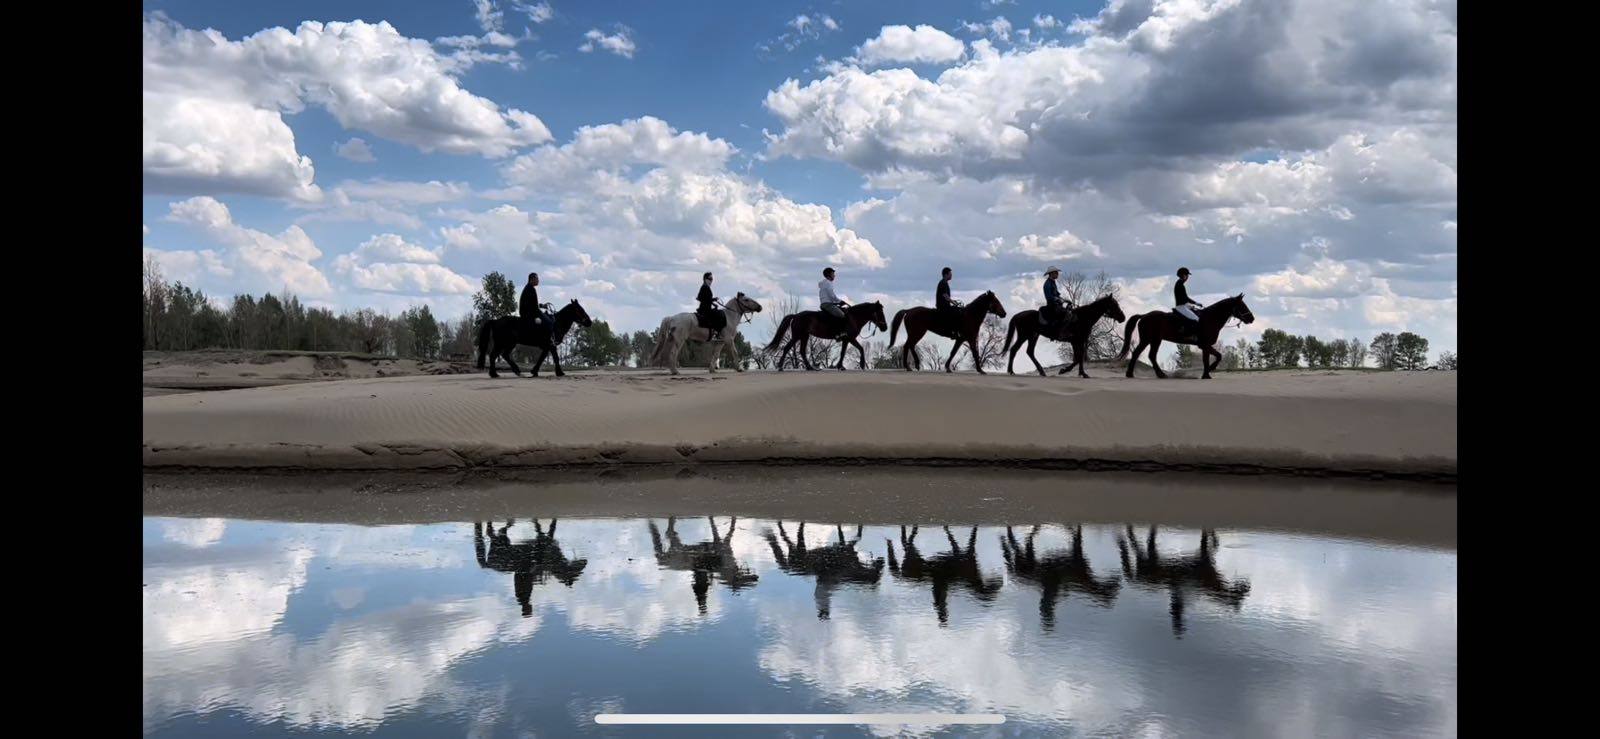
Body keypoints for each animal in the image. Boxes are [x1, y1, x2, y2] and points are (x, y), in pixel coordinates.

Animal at [1117, 294, 1255, 379]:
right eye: (1242, 306)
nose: (1252, 319)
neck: (1210, 318)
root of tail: (1144, 315)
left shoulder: (1205, 346)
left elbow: (1211, 358)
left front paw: (1207, 373)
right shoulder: (1205, 344)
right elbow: (1215, 357)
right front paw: (1209, 371)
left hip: (1155, 340)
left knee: (1150, 356)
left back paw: (1157, 374)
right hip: (1148, 339)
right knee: (1139, 354)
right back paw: (1134, 374)